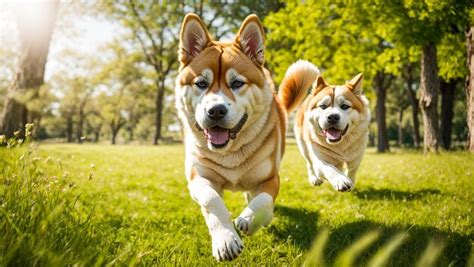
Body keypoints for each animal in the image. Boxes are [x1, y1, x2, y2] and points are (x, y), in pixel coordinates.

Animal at [175, 13, 292, 262]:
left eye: (237, 83)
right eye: (201, 83)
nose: (216, 110)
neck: (230, 152)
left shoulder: (271, 177)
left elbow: (263, 200)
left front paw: (249, 219)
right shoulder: (198, 177)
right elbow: (212, 200)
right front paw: (226, 239)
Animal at [278, 60, 370, 193]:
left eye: (344, 106)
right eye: (323, 106)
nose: (332, 117)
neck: (339, 146)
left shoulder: (357, 156)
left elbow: (352, 170)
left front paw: (350, 182)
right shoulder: (319, 160)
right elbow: (329, 168)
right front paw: (340, 180)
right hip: (303, 146)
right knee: (309, 163)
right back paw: (314, 179)